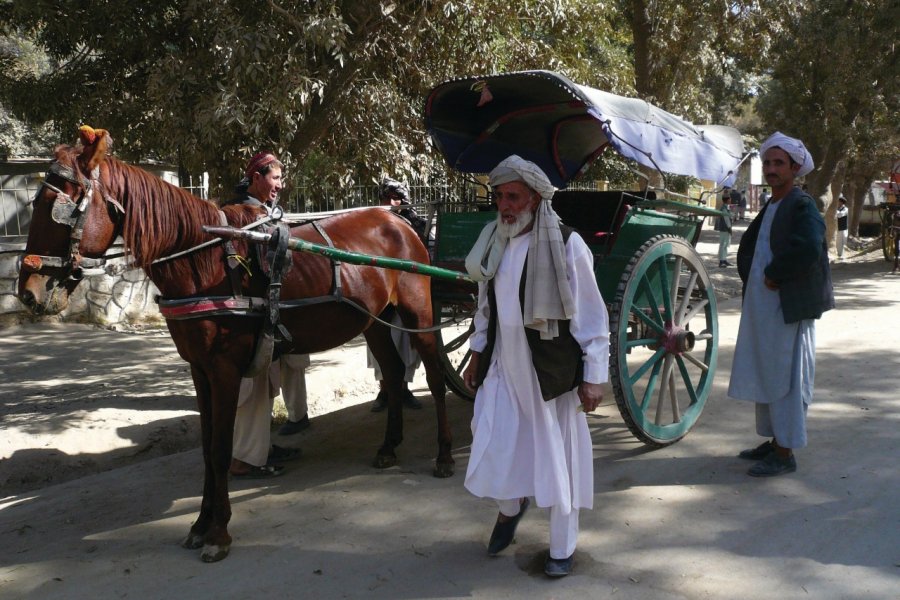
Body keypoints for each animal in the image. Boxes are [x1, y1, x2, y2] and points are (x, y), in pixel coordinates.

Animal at [19, 127, 458, 564]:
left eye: (56, 206)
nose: (27, 292)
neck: (205, 262)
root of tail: (396, 219)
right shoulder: (199, 369)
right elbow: (206, 448)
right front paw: (200, 524)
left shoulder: (224, 369)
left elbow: (219, 448)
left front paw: (218, 532)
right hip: (374, 321)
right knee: (394, 371)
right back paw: (389, 446)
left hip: (419, 312)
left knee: (436, 377)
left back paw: (444, 454)